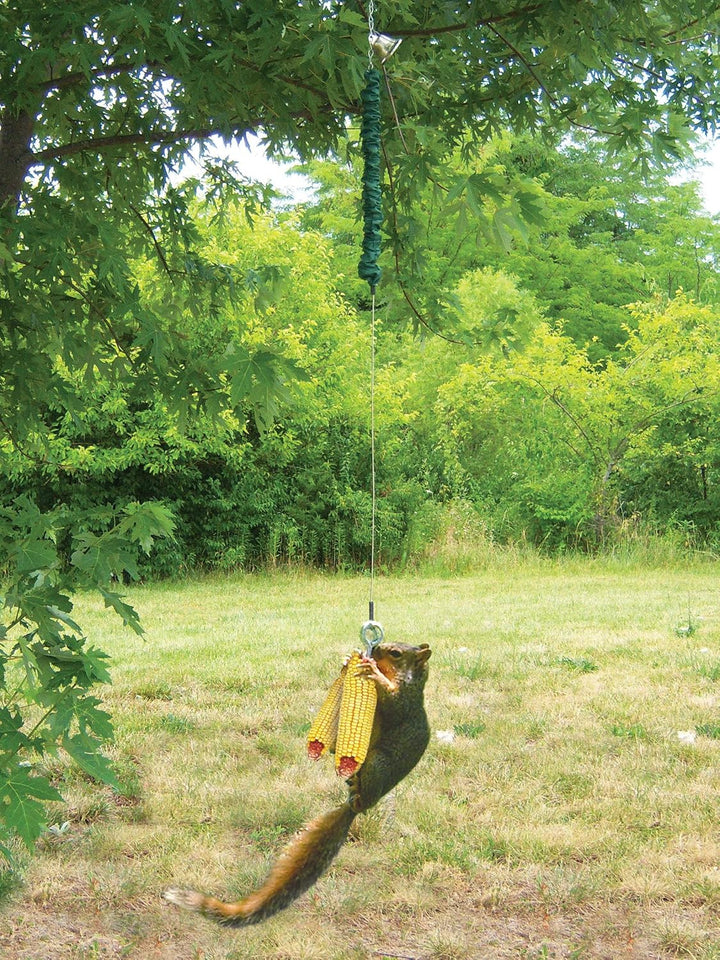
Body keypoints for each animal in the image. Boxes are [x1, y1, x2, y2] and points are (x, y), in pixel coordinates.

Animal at [163, 640, 431, 926]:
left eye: (396, 653)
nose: (376, 647)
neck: (410, 679)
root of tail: (355, 808)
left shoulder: (406, 702)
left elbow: (393, 703)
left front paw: (373, 672)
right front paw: (348, 662)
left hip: (378, 763)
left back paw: (359, 794)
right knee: (337, 752)